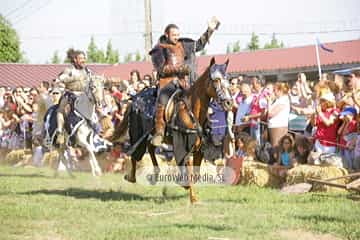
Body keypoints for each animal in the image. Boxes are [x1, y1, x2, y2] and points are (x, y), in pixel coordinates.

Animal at [114, 57, 233, 202]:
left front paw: (186, 187)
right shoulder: (183, 147)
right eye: (216, 80)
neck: (191, 110)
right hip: (137, 132)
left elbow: (196, 174)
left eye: (228, 80)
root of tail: (135, 98)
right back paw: (131, 177)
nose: (228, 102)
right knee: (136, 152)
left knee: (150, 147)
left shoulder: (199, 149)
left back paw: (155, 174)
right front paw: (193, 198)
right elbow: (188, 171)